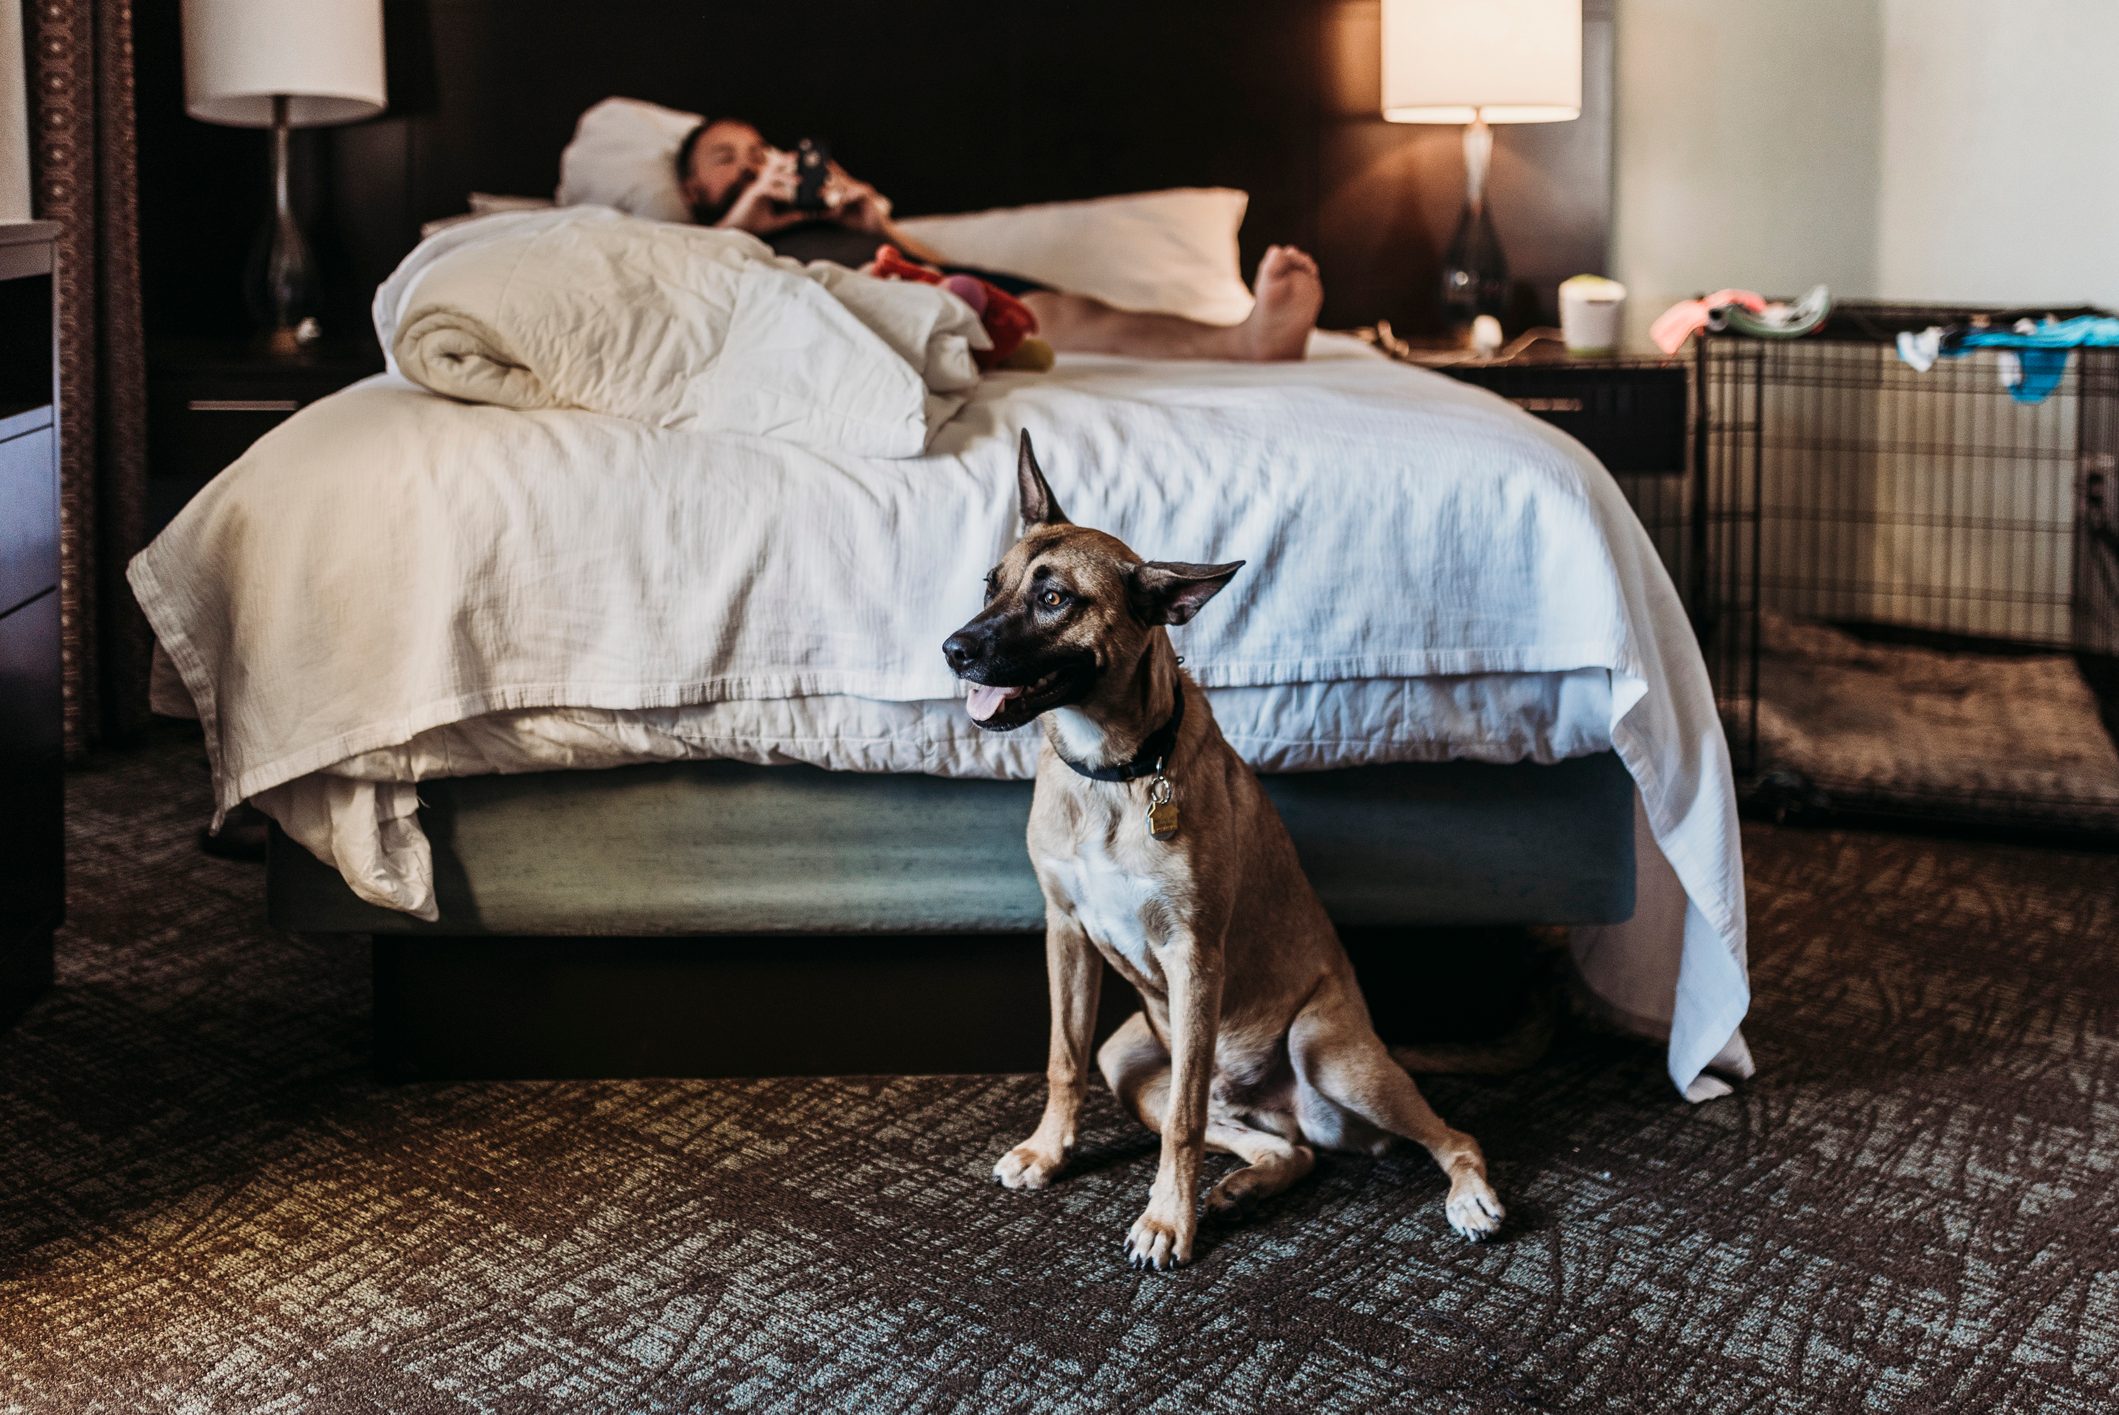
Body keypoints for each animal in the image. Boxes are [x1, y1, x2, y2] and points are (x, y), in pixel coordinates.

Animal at [945, 432, 1508, 1270]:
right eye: (992, 583)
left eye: (1054, 600)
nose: (952, 649)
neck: (1115, 769)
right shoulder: (1065, 933)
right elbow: (1061, 1059)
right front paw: (1049, 1151)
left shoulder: (1193, 955)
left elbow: (1181, 1121)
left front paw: (1165, 1218)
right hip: (1131, 1059)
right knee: (1285, 1149)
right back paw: (1246, 1183)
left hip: (1327, 1050)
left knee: (1451, 1133)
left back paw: (1467, 1194)